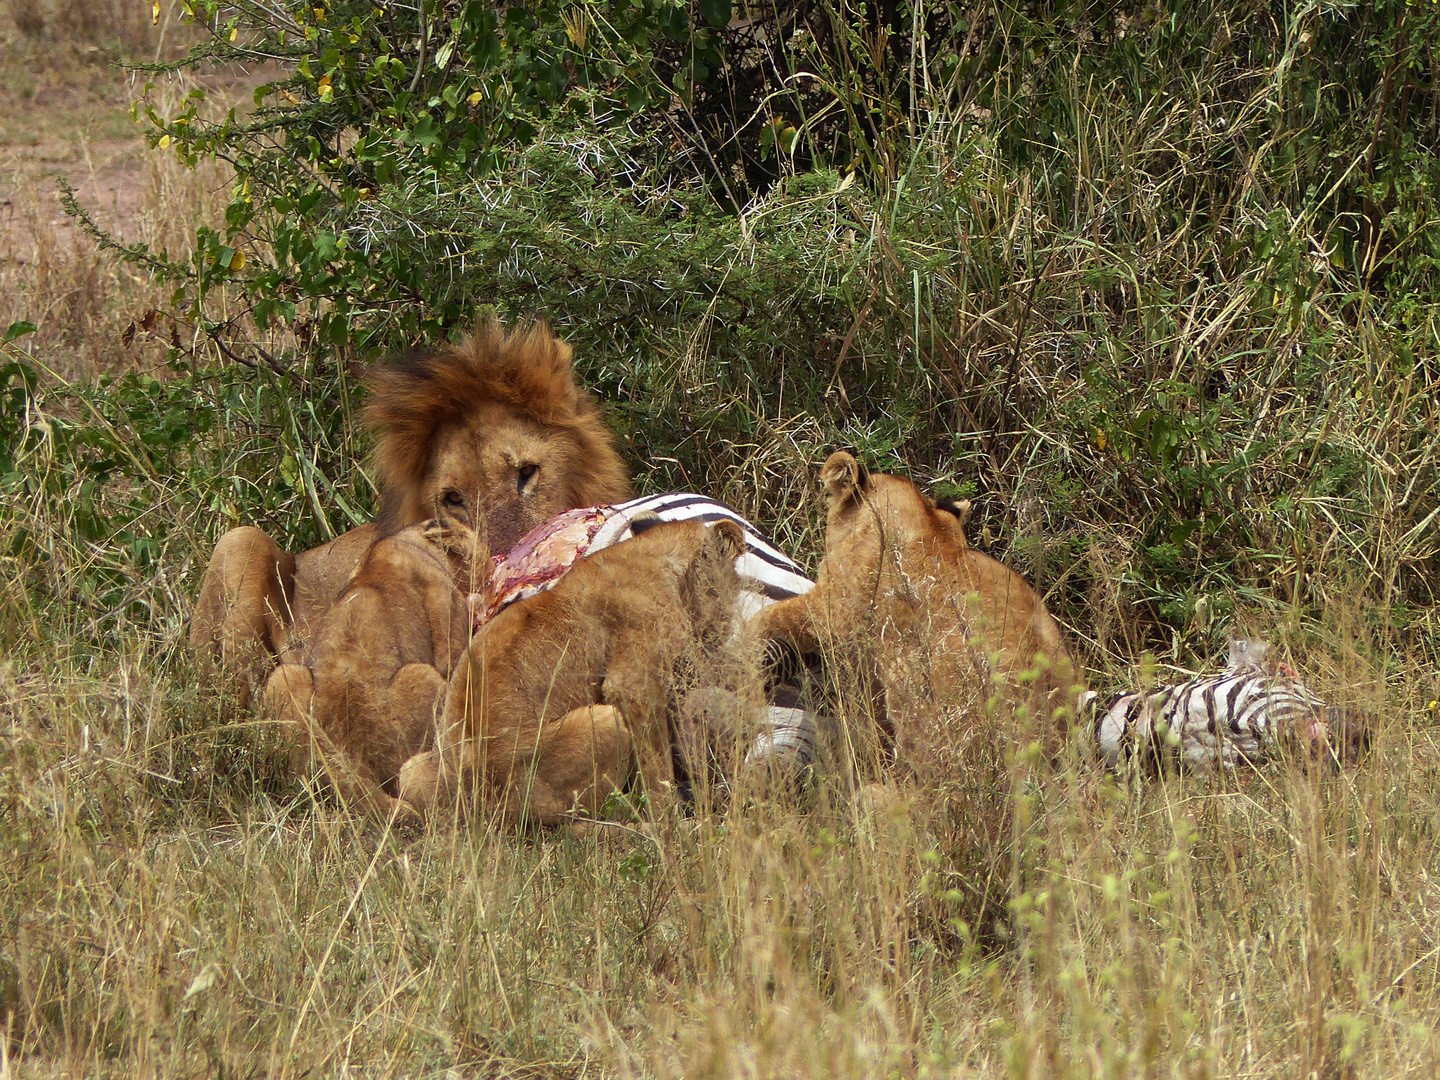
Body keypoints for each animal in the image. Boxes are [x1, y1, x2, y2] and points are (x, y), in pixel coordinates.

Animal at [397, 521, 754, 823]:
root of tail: (475, 801)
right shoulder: (631, 683)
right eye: (732, 587)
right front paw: (673, 822)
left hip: (411, 769)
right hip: (605, 722)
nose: (727, 629)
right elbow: (658, 765)